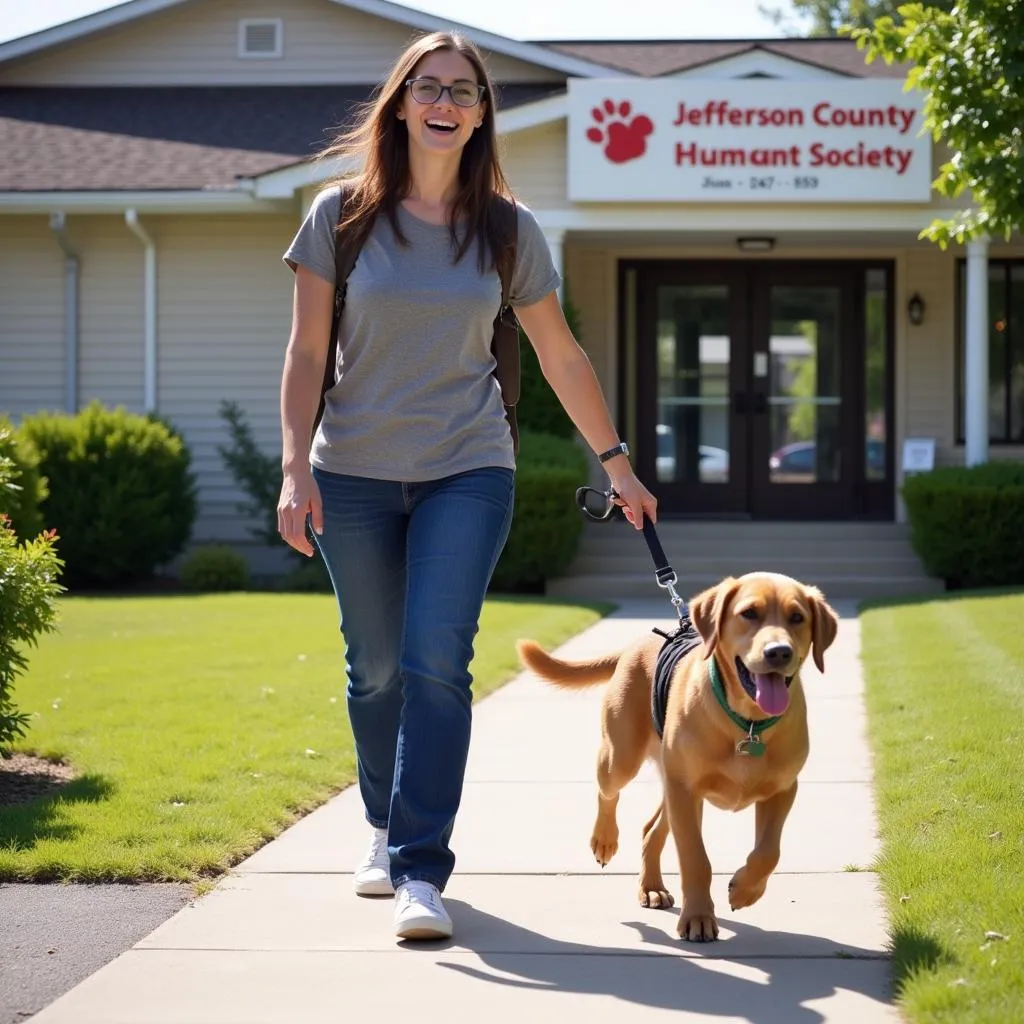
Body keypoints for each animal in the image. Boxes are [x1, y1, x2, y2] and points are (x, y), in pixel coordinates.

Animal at [516, 573, 835, 937]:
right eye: (749, 613)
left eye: (797, 618)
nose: (779, 652)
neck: (748, 722)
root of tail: (635, 645)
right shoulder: (685, 789)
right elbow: (696, 859)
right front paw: (698, 917)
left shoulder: (782, 789)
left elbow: (769, 852)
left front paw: (744, 890)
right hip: (623, 758)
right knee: (607, 791)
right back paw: (605, 840)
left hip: (671, 782)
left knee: (651, 829)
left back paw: (652, 887)